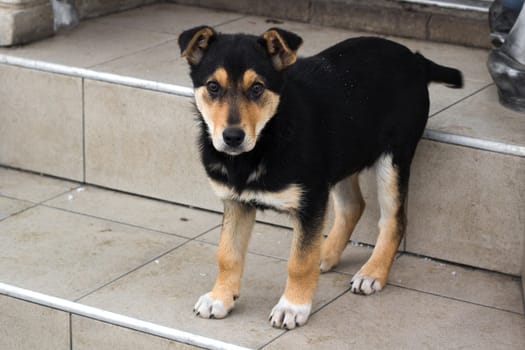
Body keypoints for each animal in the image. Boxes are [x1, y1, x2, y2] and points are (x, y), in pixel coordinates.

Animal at [178, 26, 460, 330]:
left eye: (257, 88)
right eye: (212, 87)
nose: (232, 137)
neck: (267, 138)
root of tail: (415, 59)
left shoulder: (310, 200)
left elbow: (299, 263)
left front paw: (292, 307)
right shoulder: (236, 201)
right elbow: (227, 254)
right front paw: (220, 298)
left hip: (393, 158)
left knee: (394, 220)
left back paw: (372, 272)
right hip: (340, 156)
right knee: (353, 206)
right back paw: (325, 253)